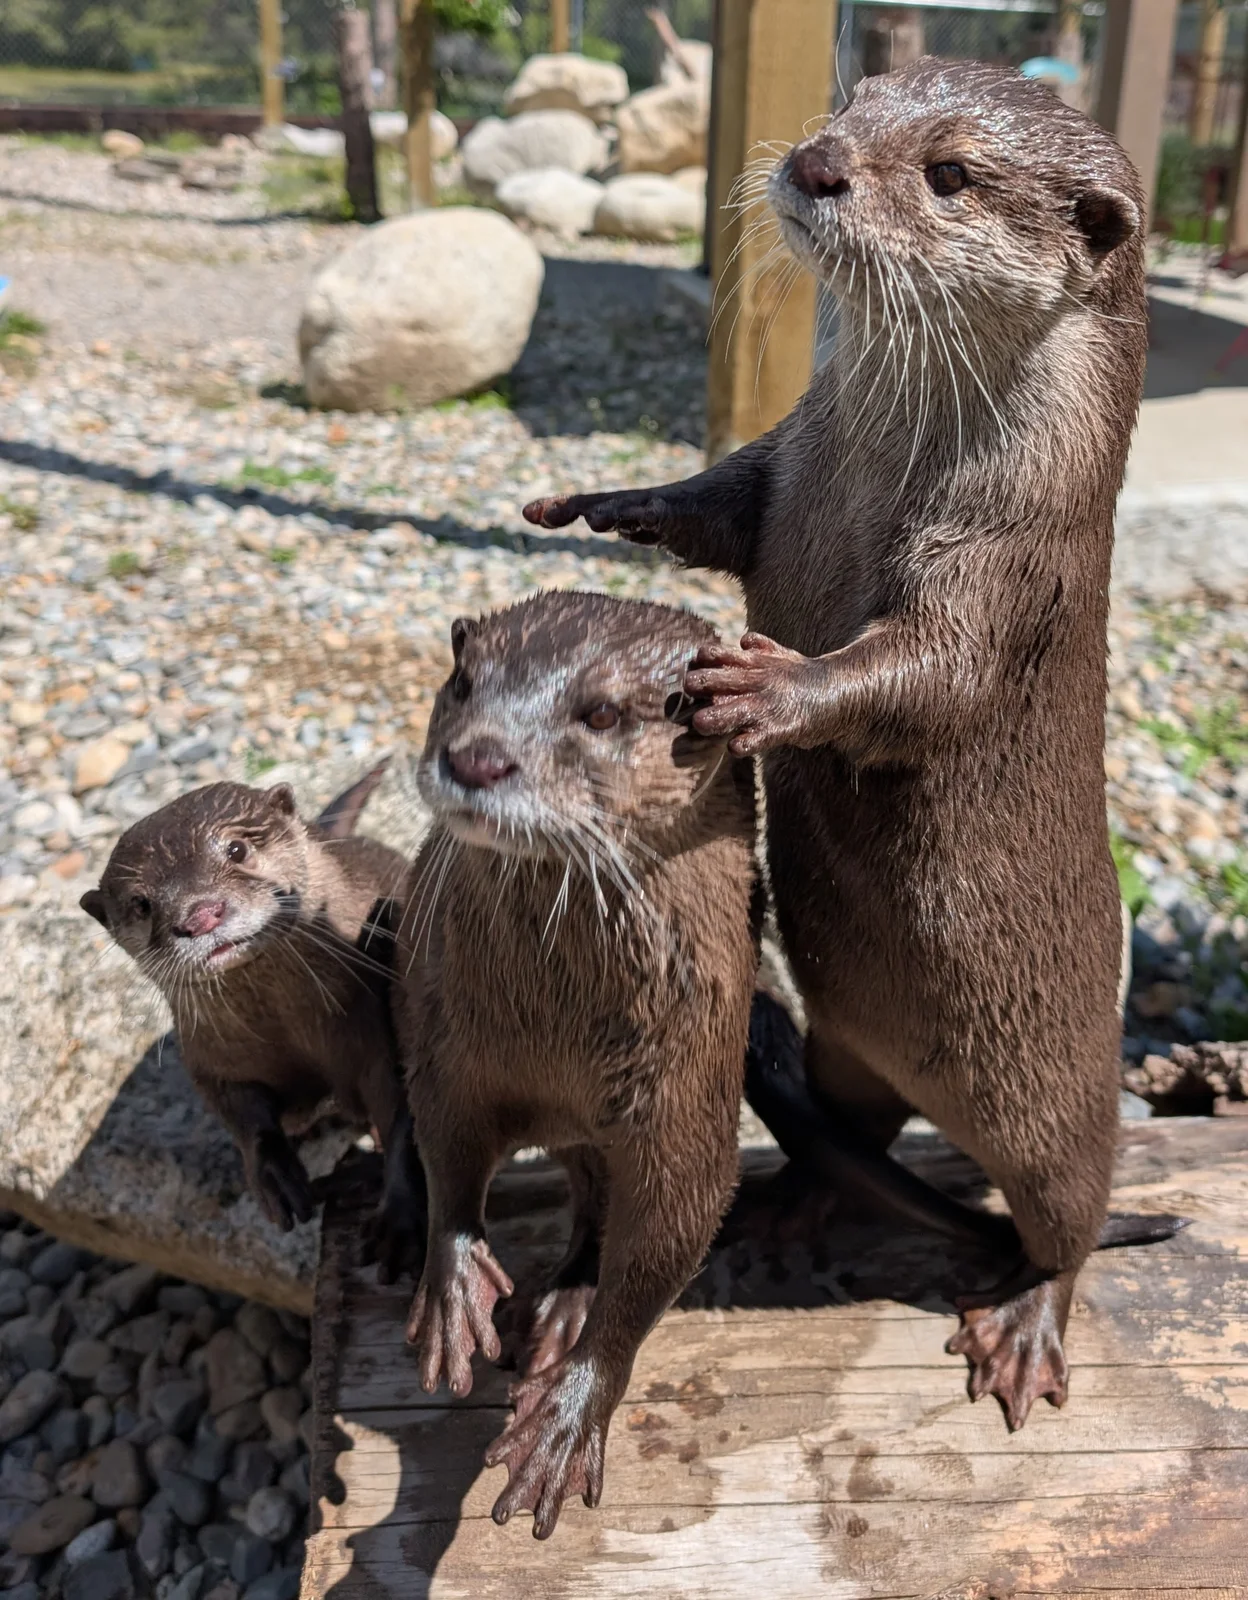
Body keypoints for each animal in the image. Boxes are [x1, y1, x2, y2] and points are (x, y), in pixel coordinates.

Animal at [81, 761, 424, 1281]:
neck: (295, 1033)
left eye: (237, 849)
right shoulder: (210, 1056)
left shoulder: (376, 1025)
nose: (201, 914)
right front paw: (274, 1175)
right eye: (141, 903)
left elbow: (403, 1109)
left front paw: (400, 1219)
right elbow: (241, 1116)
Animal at [392, 592, 759, 1537]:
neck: (557, 1038)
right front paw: (454, 1289)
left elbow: (673, 1228)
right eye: (462, 681)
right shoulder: (446, 1044)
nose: (477, 757)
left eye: (599, 714)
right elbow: (447, 1151)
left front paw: (567, 1413)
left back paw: (567, 1313)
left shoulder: (691, 1092)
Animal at [524, 59, 1159, 1429]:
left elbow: (925, 672)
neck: (884, 465)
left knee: (1073, 1217)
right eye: (855, 100)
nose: (817, 164)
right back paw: (784, 1198)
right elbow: (720, 505)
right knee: (855, 1129)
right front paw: (614, 499)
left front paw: (765, 685)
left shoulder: (1015, 553)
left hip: (1067, 1102)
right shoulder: (785, 462)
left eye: (952, 173)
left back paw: (1026, 1324)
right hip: (846, 1043)